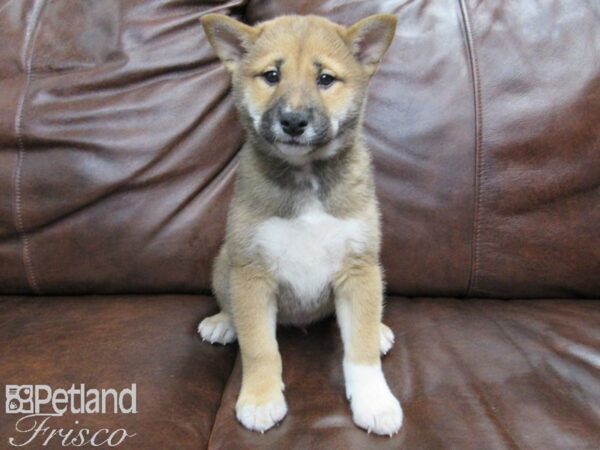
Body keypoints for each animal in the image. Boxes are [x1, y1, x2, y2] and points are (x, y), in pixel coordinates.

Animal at [198, 13, 404, 436]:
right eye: (271, 75)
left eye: (325, 78)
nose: (293, 121)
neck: (305, 177)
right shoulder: (252, 271)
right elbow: (260, 348)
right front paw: (261, 399)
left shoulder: (358, 268)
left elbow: (359, 350)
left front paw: (374, 401)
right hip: (225, 262)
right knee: (230, 305)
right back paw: (224, 322)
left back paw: (378, 329)